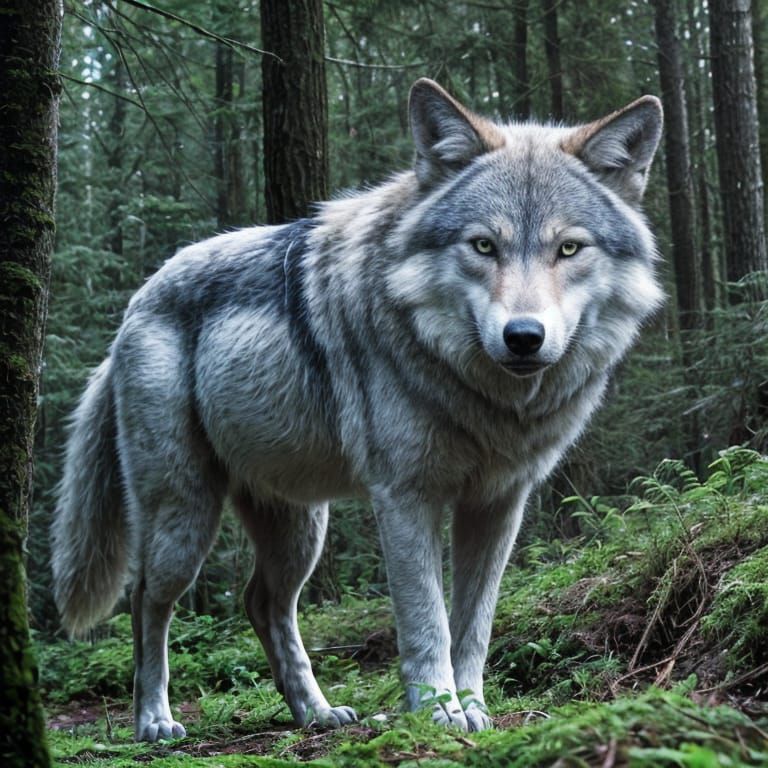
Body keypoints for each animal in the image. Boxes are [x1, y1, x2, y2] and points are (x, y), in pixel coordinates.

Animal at [52, 79, 663, 740]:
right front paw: (438, 712)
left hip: (300, 529)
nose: (523, 337)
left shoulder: (499, 503)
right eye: (483, 246)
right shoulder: (405, 496)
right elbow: (427, 621)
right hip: (184, 520)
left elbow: (474, 625)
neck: (484, 400)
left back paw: (316, 713)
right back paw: (155, 720)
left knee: (262, 604)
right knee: (146, 601)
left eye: (569, 248)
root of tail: (133, 309)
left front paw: (474, 709)